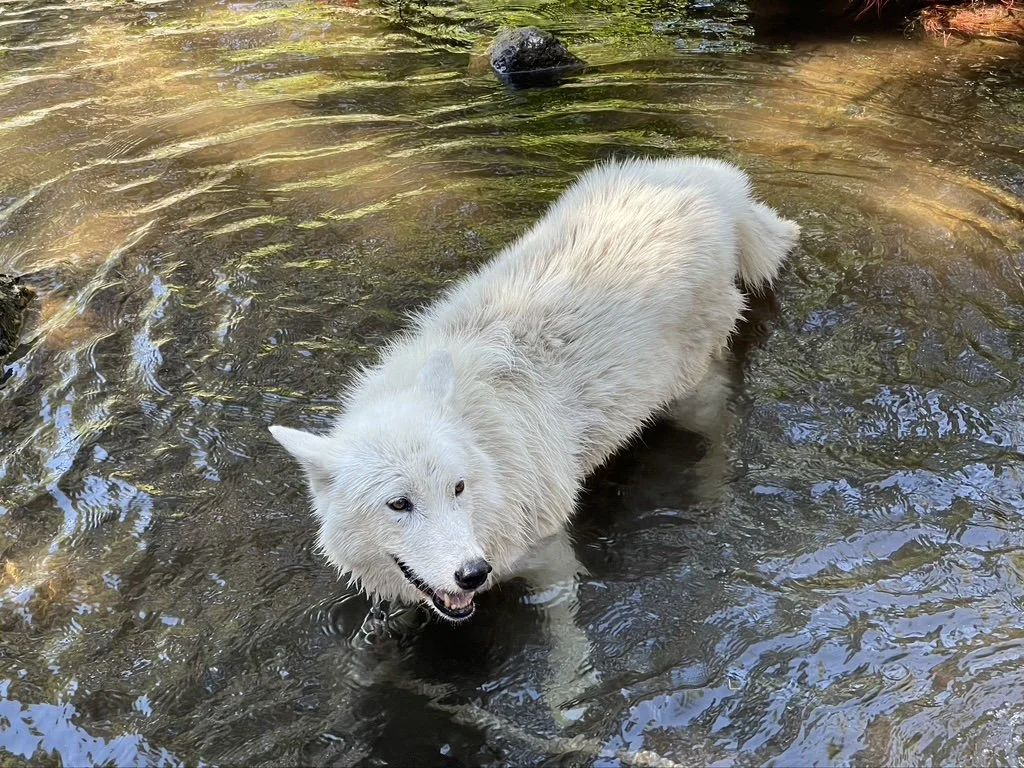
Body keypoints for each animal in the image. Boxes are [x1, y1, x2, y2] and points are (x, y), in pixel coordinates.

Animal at [270, 155, 800, 624]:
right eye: (399, 504)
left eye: (458, 487)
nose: (472, 573)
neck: (490, 459)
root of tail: (713, 184)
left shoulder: (549, 554)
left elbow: (565, 646)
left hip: (692, 395)